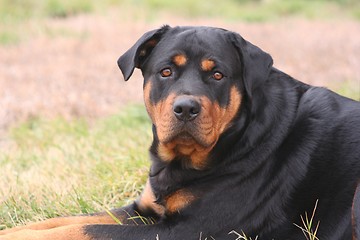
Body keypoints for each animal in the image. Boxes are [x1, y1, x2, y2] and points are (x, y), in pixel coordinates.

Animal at [0, 25, 360, 239]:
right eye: (166, 71)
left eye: (217, 75)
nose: (186, 108)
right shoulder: (143, 209)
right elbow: (69, 220)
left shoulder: (188, 229)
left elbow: (84, 230)